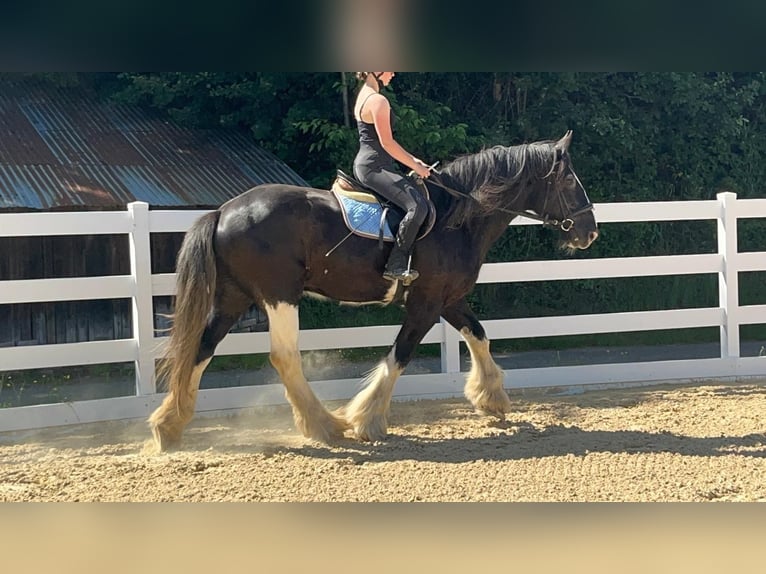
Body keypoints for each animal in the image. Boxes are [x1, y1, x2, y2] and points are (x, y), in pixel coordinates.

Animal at [148, 130, 598, 451]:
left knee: (201, 349)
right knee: (283, 356)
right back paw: (325, 425)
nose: (590, 232)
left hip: (234, 297)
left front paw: (491, 398)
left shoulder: (448, 298)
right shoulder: (425, 303)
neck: (456, 218)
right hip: (278, 295)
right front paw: (367, 419)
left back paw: (169, 426)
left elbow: (480, 335)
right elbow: (400, 355)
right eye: (570, 181)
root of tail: (224, 210)